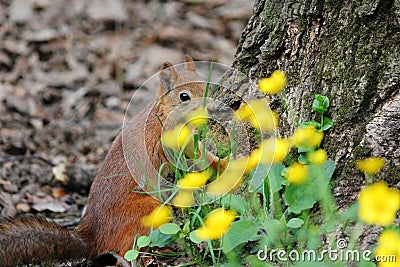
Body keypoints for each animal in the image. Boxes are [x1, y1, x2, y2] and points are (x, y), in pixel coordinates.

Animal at [0, 56, 222, 267]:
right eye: (184, 96)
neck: (163, 112)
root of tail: (93, 237)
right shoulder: (172, 142)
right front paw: (224, 164)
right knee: (126, 252)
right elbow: (198, 160)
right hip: (146, 211)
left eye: (205, 84)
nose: (212, 108)